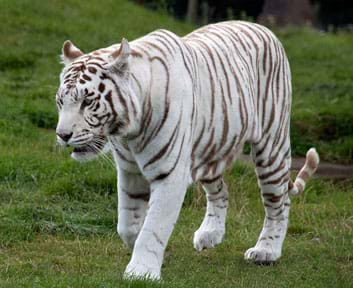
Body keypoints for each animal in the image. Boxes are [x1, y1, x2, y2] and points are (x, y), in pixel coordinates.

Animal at [55, 21, 320, 280]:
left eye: (87, 101)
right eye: (60, 101)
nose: (62, 135)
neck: (128, 132)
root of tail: (264, 28)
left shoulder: (169, 174)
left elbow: (154, 225)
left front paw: (141, 271)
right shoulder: (129, 171)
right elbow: (128, 225)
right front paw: (152, 255)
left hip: (271, 145)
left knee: (279, 202)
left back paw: (267, 251)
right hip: (209, 149)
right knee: (221, 192)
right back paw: (210, 234)